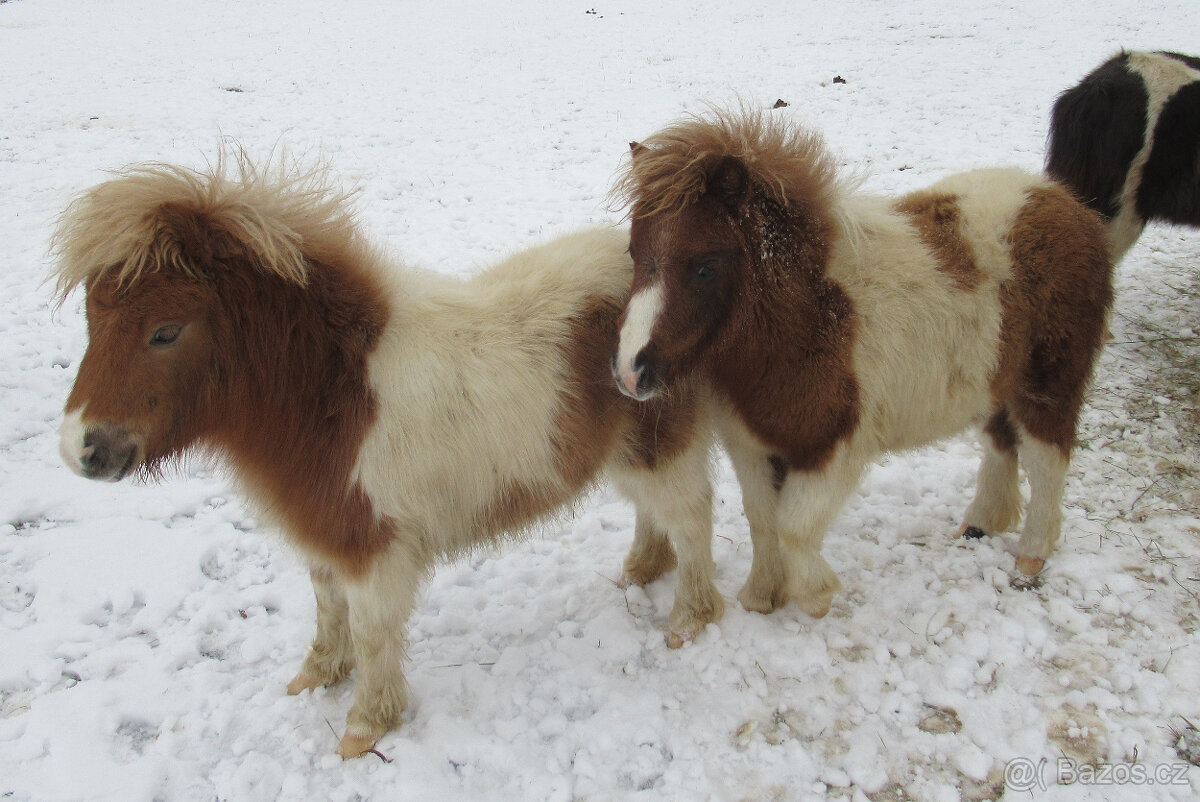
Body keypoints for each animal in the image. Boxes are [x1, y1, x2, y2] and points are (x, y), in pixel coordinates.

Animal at [52, 154, 728, 759]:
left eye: (164, 332)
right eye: (90, 316)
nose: (83, 449)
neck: (336, 391)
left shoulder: (374, 548)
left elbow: (373, 633)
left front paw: (363, 729)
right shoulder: (329, 535)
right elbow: (328, 609)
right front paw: (316, 676)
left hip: (665, 450)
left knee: (691, 520)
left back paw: (689, 620)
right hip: (630, 452)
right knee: (655, 514)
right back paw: (640, 570)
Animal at [611, 108, 1114, 621]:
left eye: (706, 266)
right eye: (635, 252)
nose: (631, 372)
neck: (809, 319)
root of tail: (1065, 203)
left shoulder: (833, 447)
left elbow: (794, 526)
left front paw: (815, 596)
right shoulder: (751, 445)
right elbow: (763, 520)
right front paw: (762, 596)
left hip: (1049, 386)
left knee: (1047, 460)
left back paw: (1031, 556)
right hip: (997, 383)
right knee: (1001, 442)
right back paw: (981, 524)